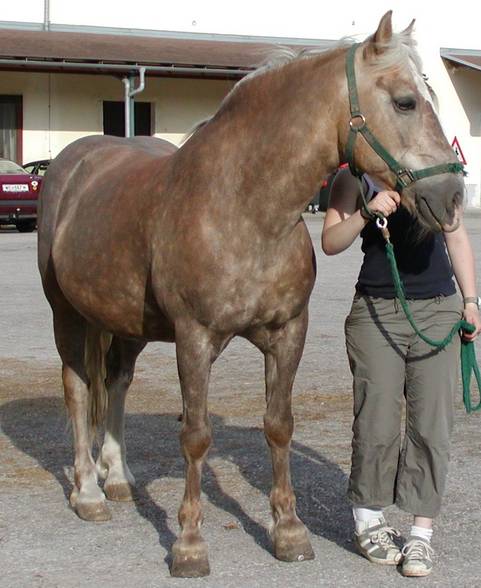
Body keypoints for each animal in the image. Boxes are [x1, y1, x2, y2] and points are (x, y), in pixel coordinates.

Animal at [37, 10, 462, 580]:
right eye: (405, 102)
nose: (452, 195)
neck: (243, 206)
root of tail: (73, 162)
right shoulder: (194, 339)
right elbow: (195, 436)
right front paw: (189, 546)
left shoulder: (287, 333)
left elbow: (278, 427)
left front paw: (289, 533)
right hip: (67, 315)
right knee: (80, 388)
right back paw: (88, 493)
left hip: (126, 324)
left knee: (117, 383)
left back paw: (119, 478)